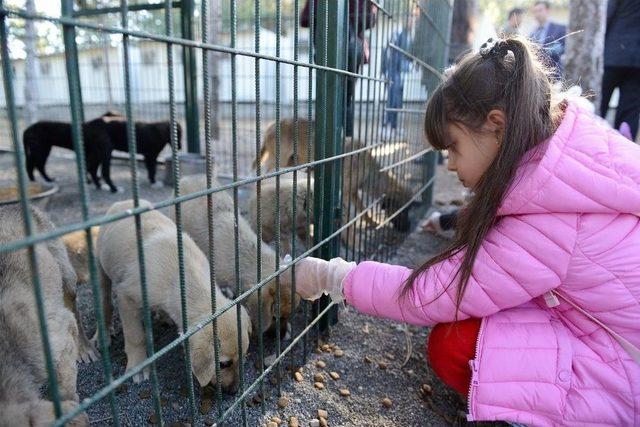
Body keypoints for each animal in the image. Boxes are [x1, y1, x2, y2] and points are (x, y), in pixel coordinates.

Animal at [97, 201, 250, 394]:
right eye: (224, 364)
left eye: (244, 355)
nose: (235, 391)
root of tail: (121, 203)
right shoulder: (127, 297)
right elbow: (135, 336)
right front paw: (138, 366)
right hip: (101, 268)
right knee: (104, 302)